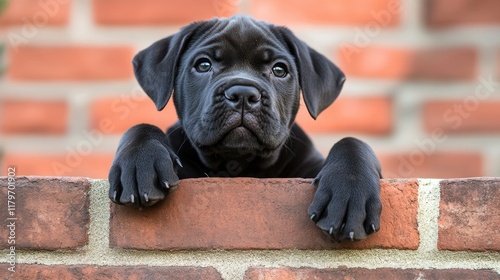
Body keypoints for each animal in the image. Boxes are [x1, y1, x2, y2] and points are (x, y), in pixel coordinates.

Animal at [109, 15, 382, 242]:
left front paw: (349, 193)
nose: (242, 93)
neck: (240, 165)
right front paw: (140, 163)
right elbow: (141, 127)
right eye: (203, 65)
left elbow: (352, 143)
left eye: (279, 69)